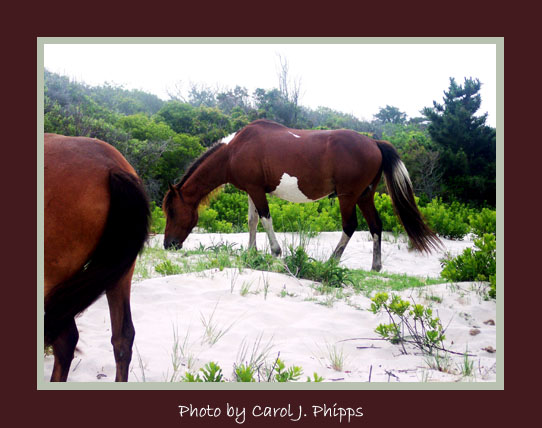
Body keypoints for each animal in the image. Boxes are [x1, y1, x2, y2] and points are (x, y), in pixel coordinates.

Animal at [164, 118, 444, 270]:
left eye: (172, 212)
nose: (168, 245)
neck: (235, 149)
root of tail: (374, 143)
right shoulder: (251, 191)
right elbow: (252, 221)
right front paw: (251, 252)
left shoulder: (257, 192)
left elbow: (265, 219)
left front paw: (275, 252)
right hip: (365, 196)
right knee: (376, 226)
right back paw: (375, 266)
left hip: (348, 197)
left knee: (350, 226)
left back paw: (331, 262)